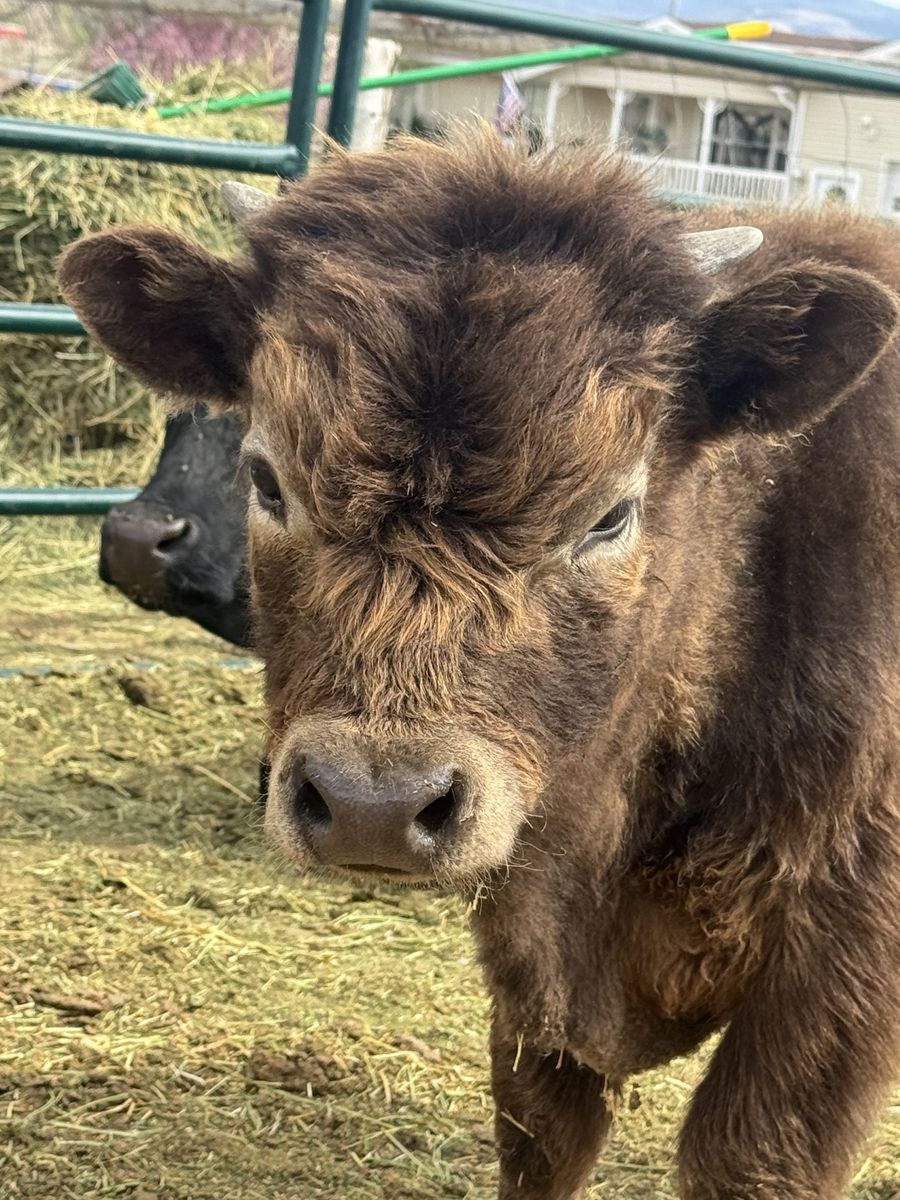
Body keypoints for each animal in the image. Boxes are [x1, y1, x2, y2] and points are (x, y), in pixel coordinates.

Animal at [59, 133, 900, 1199]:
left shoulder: (838, 977)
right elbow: (541, 1129)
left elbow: (749, 1157)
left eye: (611, 513)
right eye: (267, 478)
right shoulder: (530, 946)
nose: (372, 803)